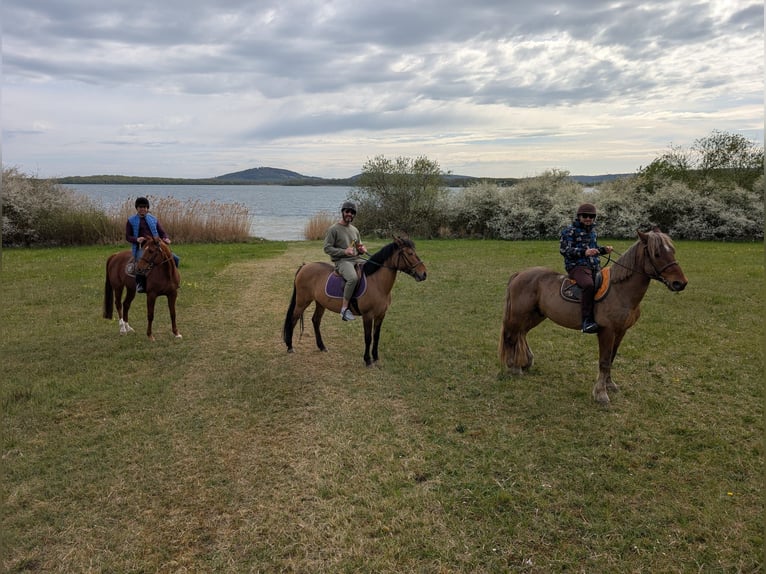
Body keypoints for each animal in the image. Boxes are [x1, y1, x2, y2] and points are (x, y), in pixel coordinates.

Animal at [283, 236, 427, 366]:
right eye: (410, 253)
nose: (424, 274)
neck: (377, 283)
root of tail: (304, 266)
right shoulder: (368, 315)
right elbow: (368, 337)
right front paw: (367, 360)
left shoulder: (381, 315)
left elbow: (376, 336)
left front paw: (375, 357)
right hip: (302, 302)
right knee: (293, 320)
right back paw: (290, 347)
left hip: (320, 303)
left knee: (315, 321)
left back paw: (322, 346)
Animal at [499, 228, 688, 405]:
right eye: (657, 254)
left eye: (672, 251)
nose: (680, 283)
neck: (620, 291)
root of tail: (520, 274)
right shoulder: (607, 331)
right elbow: (604, 361)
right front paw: (601, 394)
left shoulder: (621, 331)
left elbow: (611, 358)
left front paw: (610, 385)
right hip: (518, 314)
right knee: (511, 336)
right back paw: (513, 367)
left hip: (536, 315)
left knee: (521, 333)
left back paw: (525, 362)